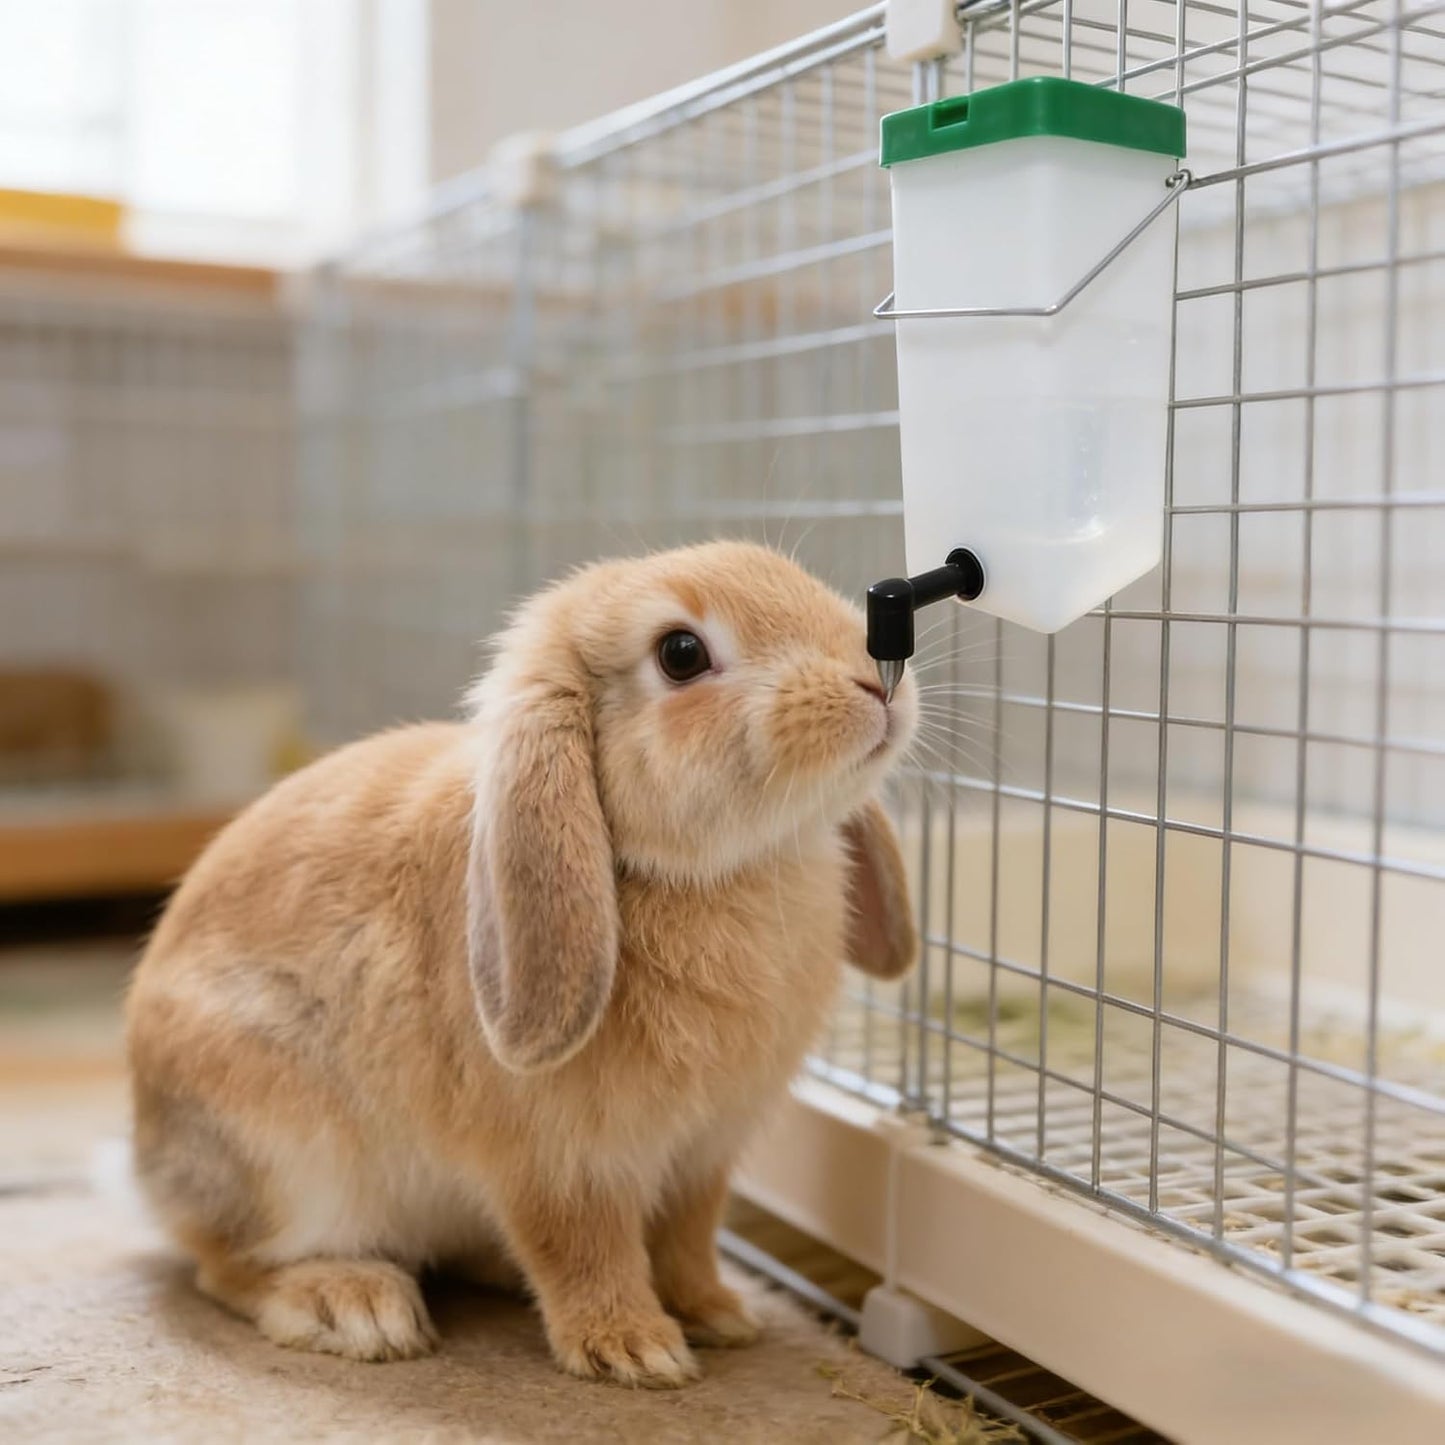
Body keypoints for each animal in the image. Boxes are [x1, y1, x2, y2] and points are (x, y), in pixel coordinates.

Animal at [125, 539, 919, 1388]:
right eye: (680, 653)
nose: (874, 678)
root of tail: (147, 1163)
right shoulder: (560, 1160)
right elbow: (581, 1246)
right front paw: (634, 1348)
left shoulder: (702, 1153)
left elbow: (686, 1236)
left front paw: (717, 1313)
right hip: (285, 1155)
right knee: (227, 1263)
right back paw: (352, 1303)